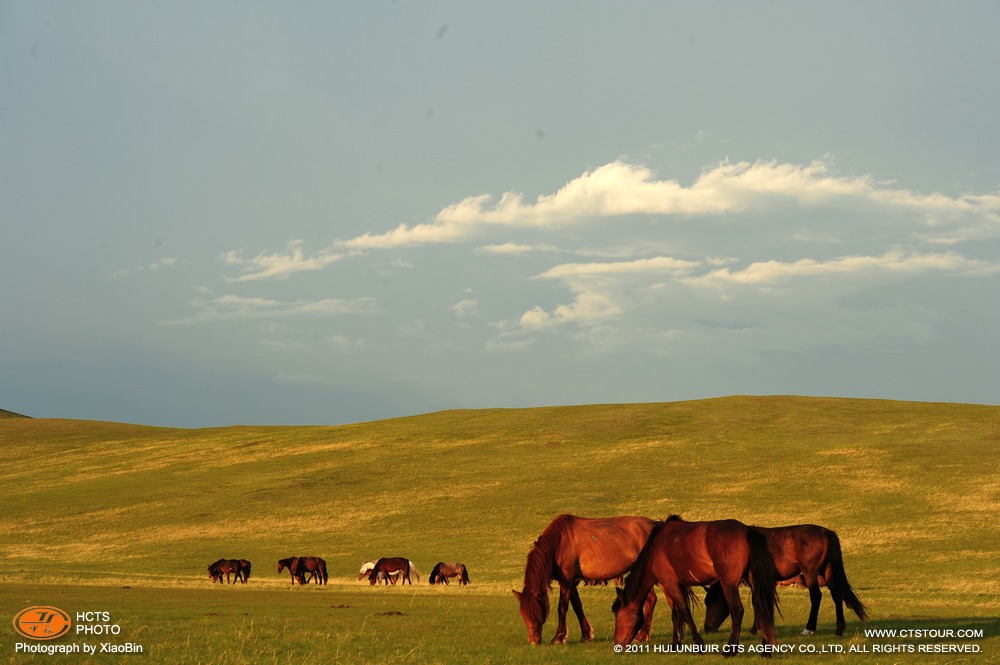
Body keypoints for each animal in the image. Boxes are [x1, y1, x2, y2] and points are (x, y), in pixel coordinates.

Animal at [512, 512, 660, 644]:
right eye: (522, 614)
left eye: (537, 612)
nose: (533, 641)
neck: (559, 542)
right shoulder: (570, 581)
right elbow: (577, 606)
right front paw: (586, 634)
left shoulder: (566, 580)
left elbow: (562, 608)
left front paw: (558, 637)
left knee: (651, 600)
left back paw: (642, 635)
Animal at [608, 516, 780, 652]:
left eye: (617, 614)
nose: (617, 643)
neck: (655, 549)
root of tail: (747, 531)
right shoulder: (678, 585)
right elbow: (676, 614)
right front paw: (675, 644)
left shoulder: (670, 584)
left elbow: (684, 612)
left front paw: (698, 643)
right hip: (752, 580)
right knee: (762, 607)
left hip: (729, 584)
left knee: (737, 611)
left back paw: (731, 649)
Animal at [704, 524, 868, 640]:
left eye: (710, 601)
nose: (707, 628)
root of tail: (826, 532)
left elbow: (757, 601)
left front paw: (755, 629)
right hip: (827, 571)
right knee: (836, 595)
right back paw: (839, 629)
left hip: (810, 572)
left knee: (816, 596)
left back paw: (809, 628)